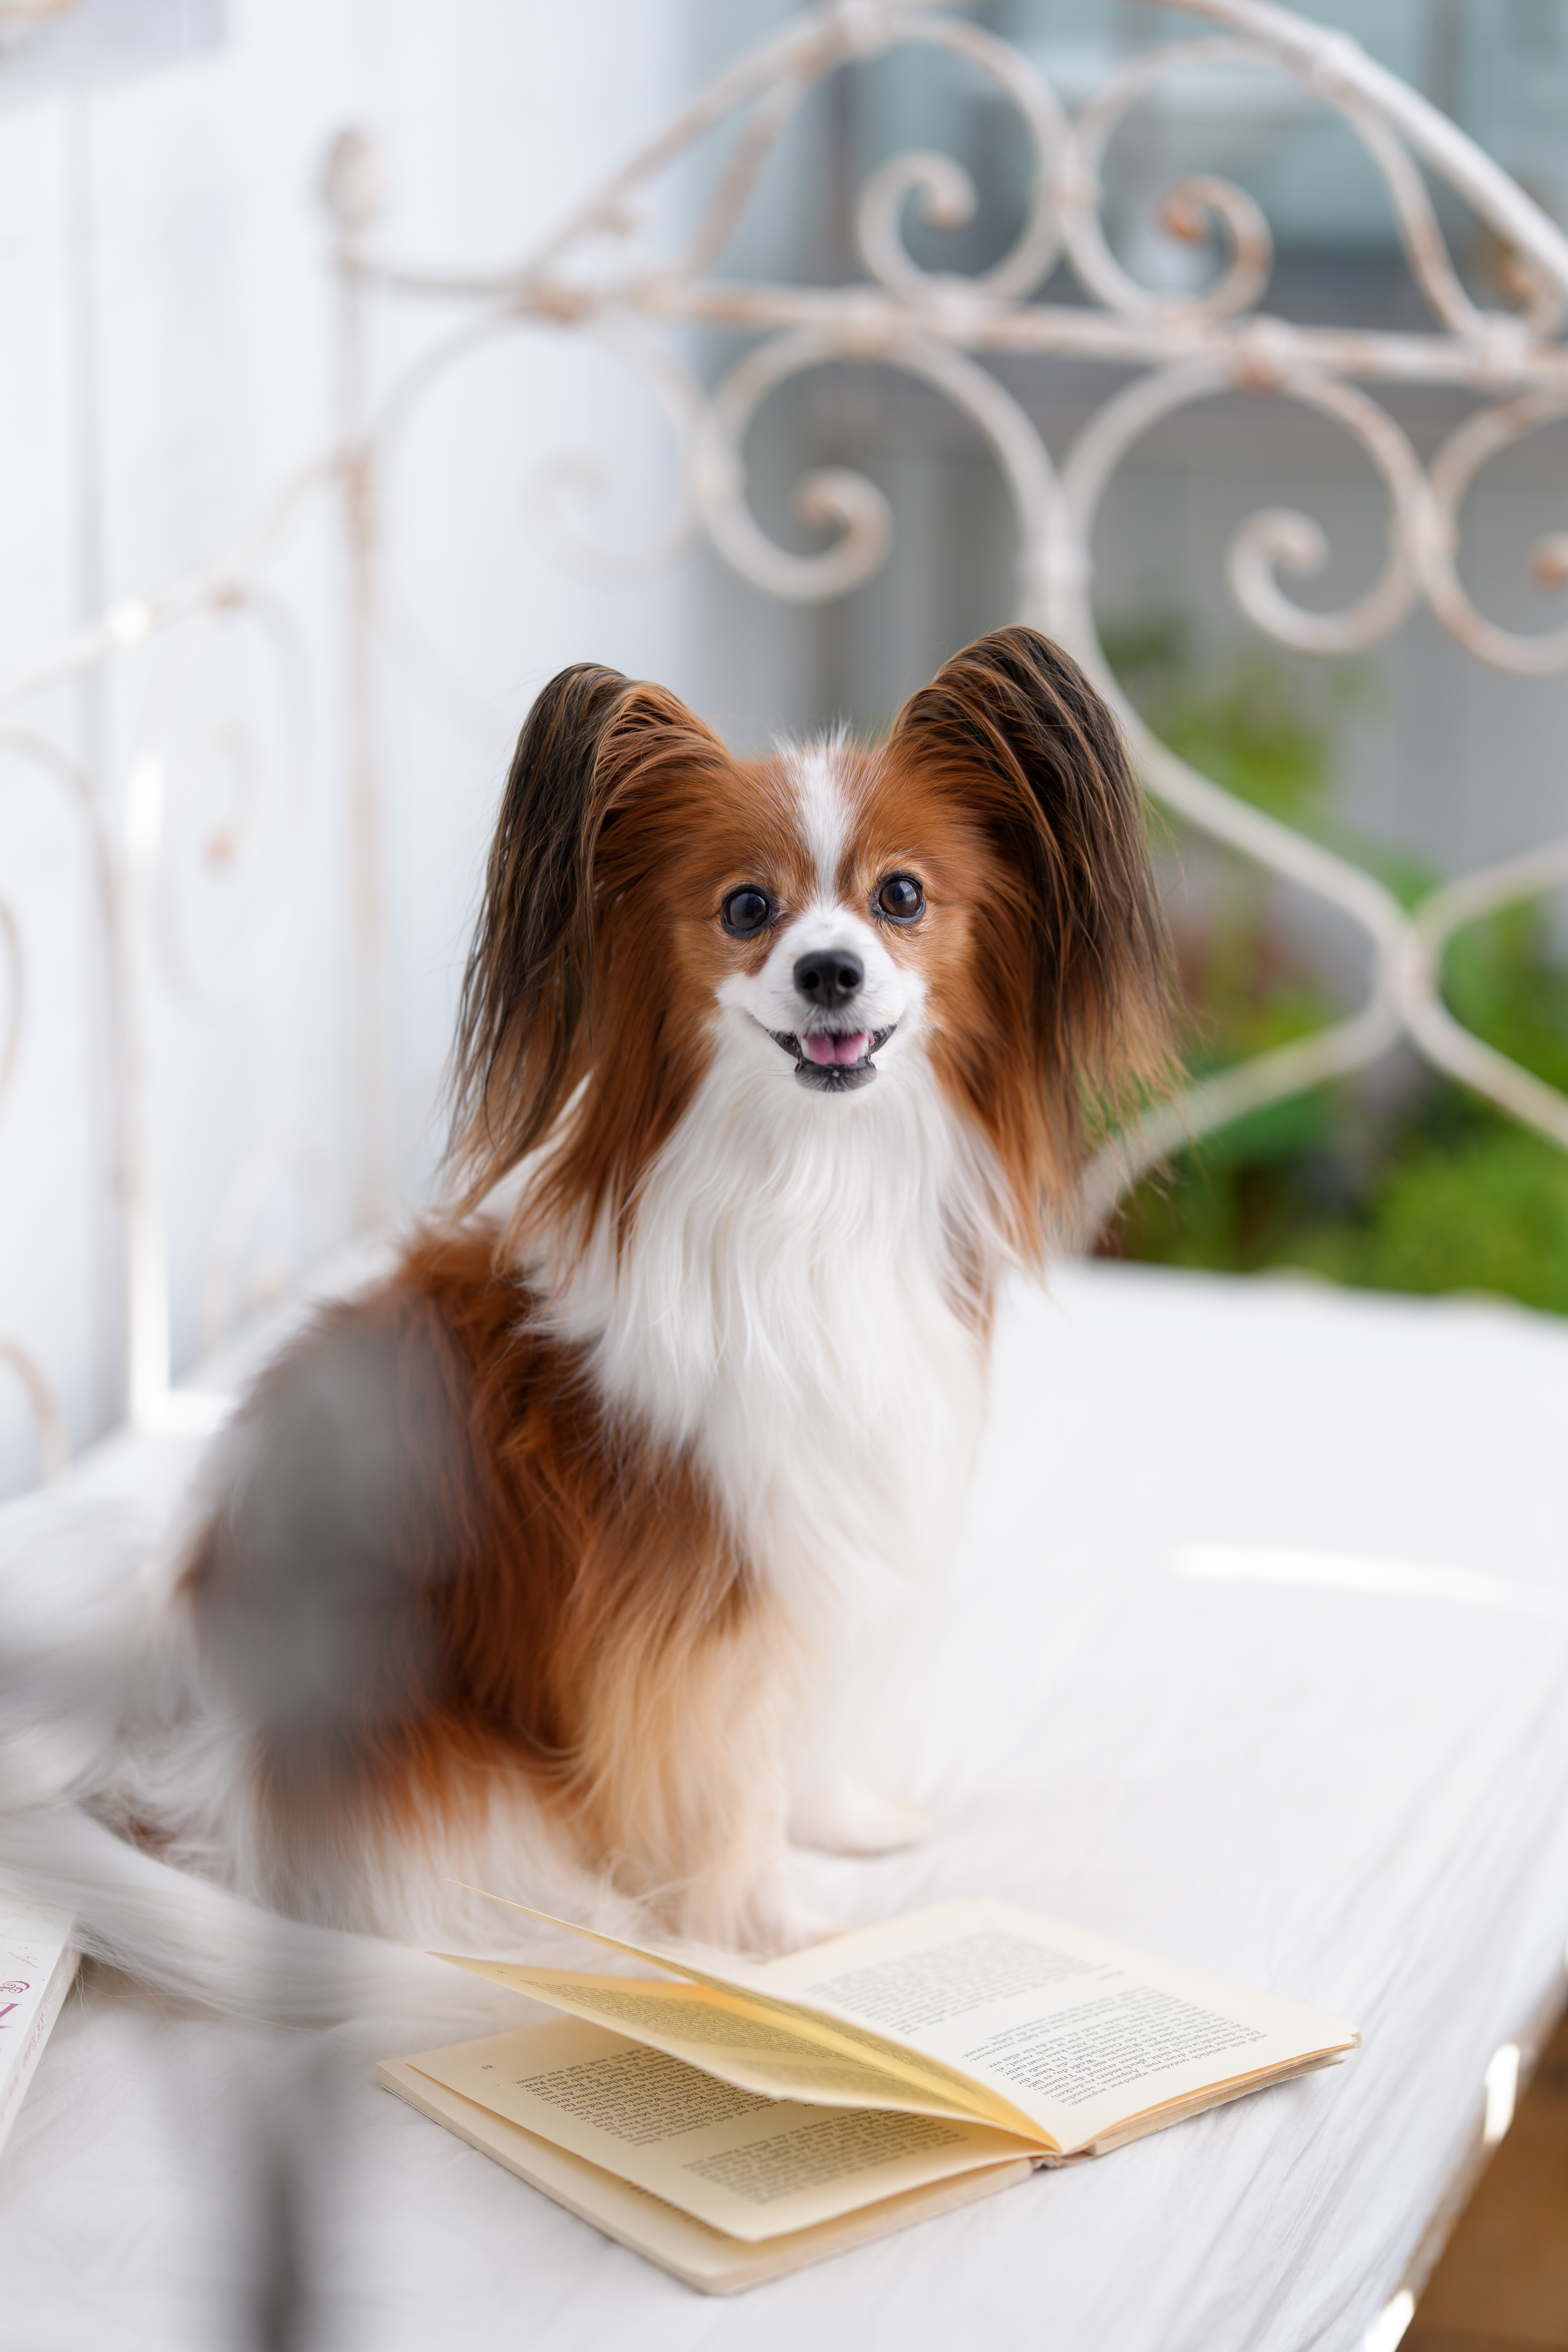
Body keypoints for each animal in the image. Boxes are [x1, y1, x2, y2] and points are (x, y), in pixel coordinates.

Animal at [6, 624, 1170, 2002]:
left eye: (900, 897)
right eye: (746, 909)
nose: (829, 971)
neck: (810, 1190)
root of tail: (169, 1694)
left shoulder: (828, 1529)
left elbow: (804, 1722)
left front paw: (839, 1821)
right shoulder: (698, 1585)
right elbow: (730, 1774)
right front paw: (775, 1942)